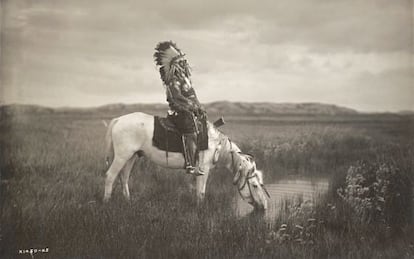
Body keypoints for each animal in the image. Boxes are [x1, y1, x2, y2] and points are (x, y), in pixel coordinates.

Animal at [104, 112, 268, 210]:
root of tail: (118, 120)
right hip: (122, 156)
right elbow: (201, 192)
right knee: (110, 176)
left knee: (124, 178)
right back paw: (107, 202)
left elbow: (198, 191)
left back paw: (128, 202)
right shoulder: (204, 170)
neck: (216, 144)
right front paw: (200, 211)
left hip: (131, 156)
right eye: (254, 185)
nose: (264, 207)